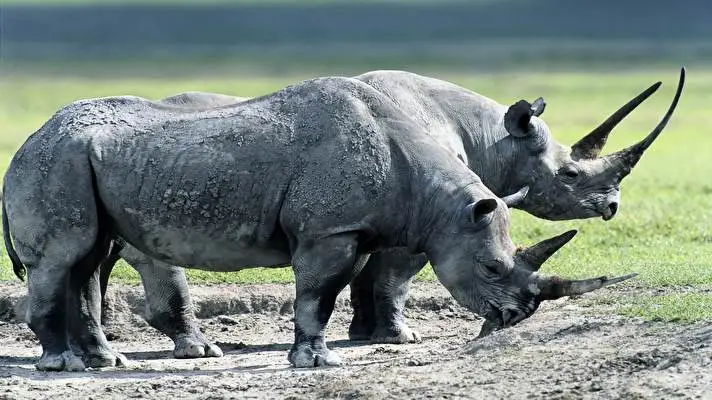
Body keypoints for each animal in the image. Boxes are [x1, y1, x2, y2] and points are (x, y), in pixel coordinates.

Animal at [2, 75, 636, 371]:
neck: (438, 200)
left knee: (88, 258)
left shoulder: (356, 227)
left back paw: (104, 361)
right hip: (55, 160)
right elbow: (318, 293)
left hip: (81, 159)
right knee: (64, 257)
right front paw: (318, 360)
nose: (517, 315)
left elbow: (339, 289)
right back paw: (62, 364)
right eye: (493, 268)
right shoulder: (329, 231)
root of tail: (29, 137)